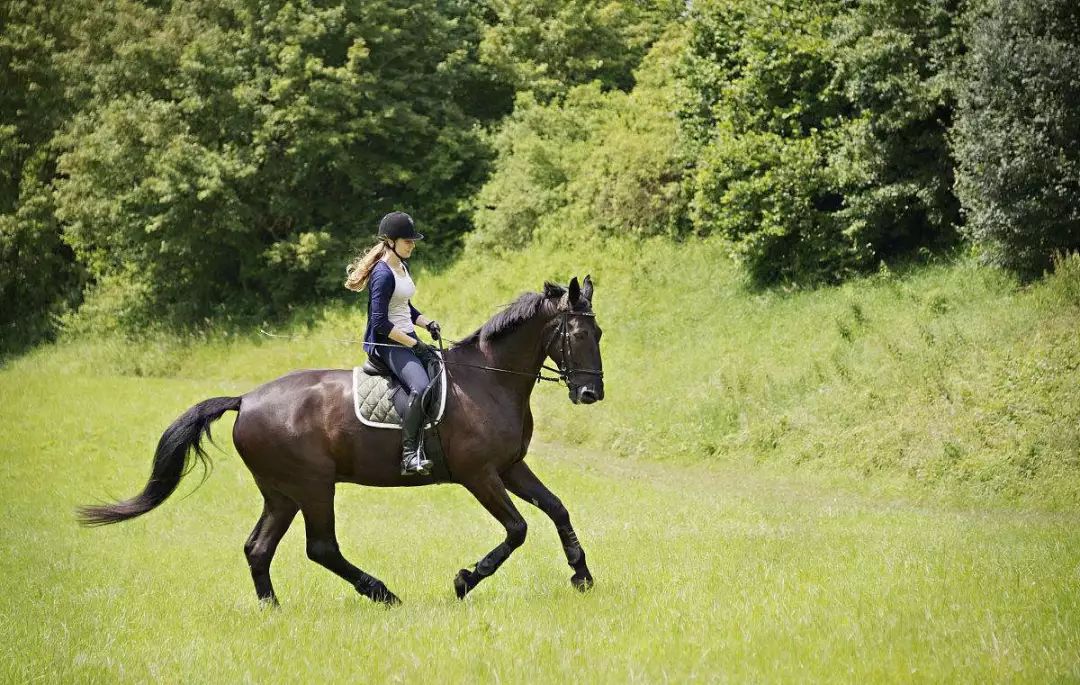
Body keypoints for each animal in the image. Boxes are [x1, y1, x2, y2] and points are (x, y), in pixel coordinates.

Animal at [79, 273, 604, 600]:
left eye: (599, 334)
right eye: (579, 335)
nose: (590, 393)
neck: (488, 380)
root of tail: (245, 399)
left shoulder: (510, 467)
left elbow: (557, 508)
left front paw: (582, 575)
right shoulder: (479, 475)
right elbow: (517, 529)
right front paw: (464, 580)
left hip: (282, 492)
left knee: (258, 548)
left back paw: (274, 610)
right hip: (313, 485)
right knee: (321, 548)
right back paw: (382, 592)